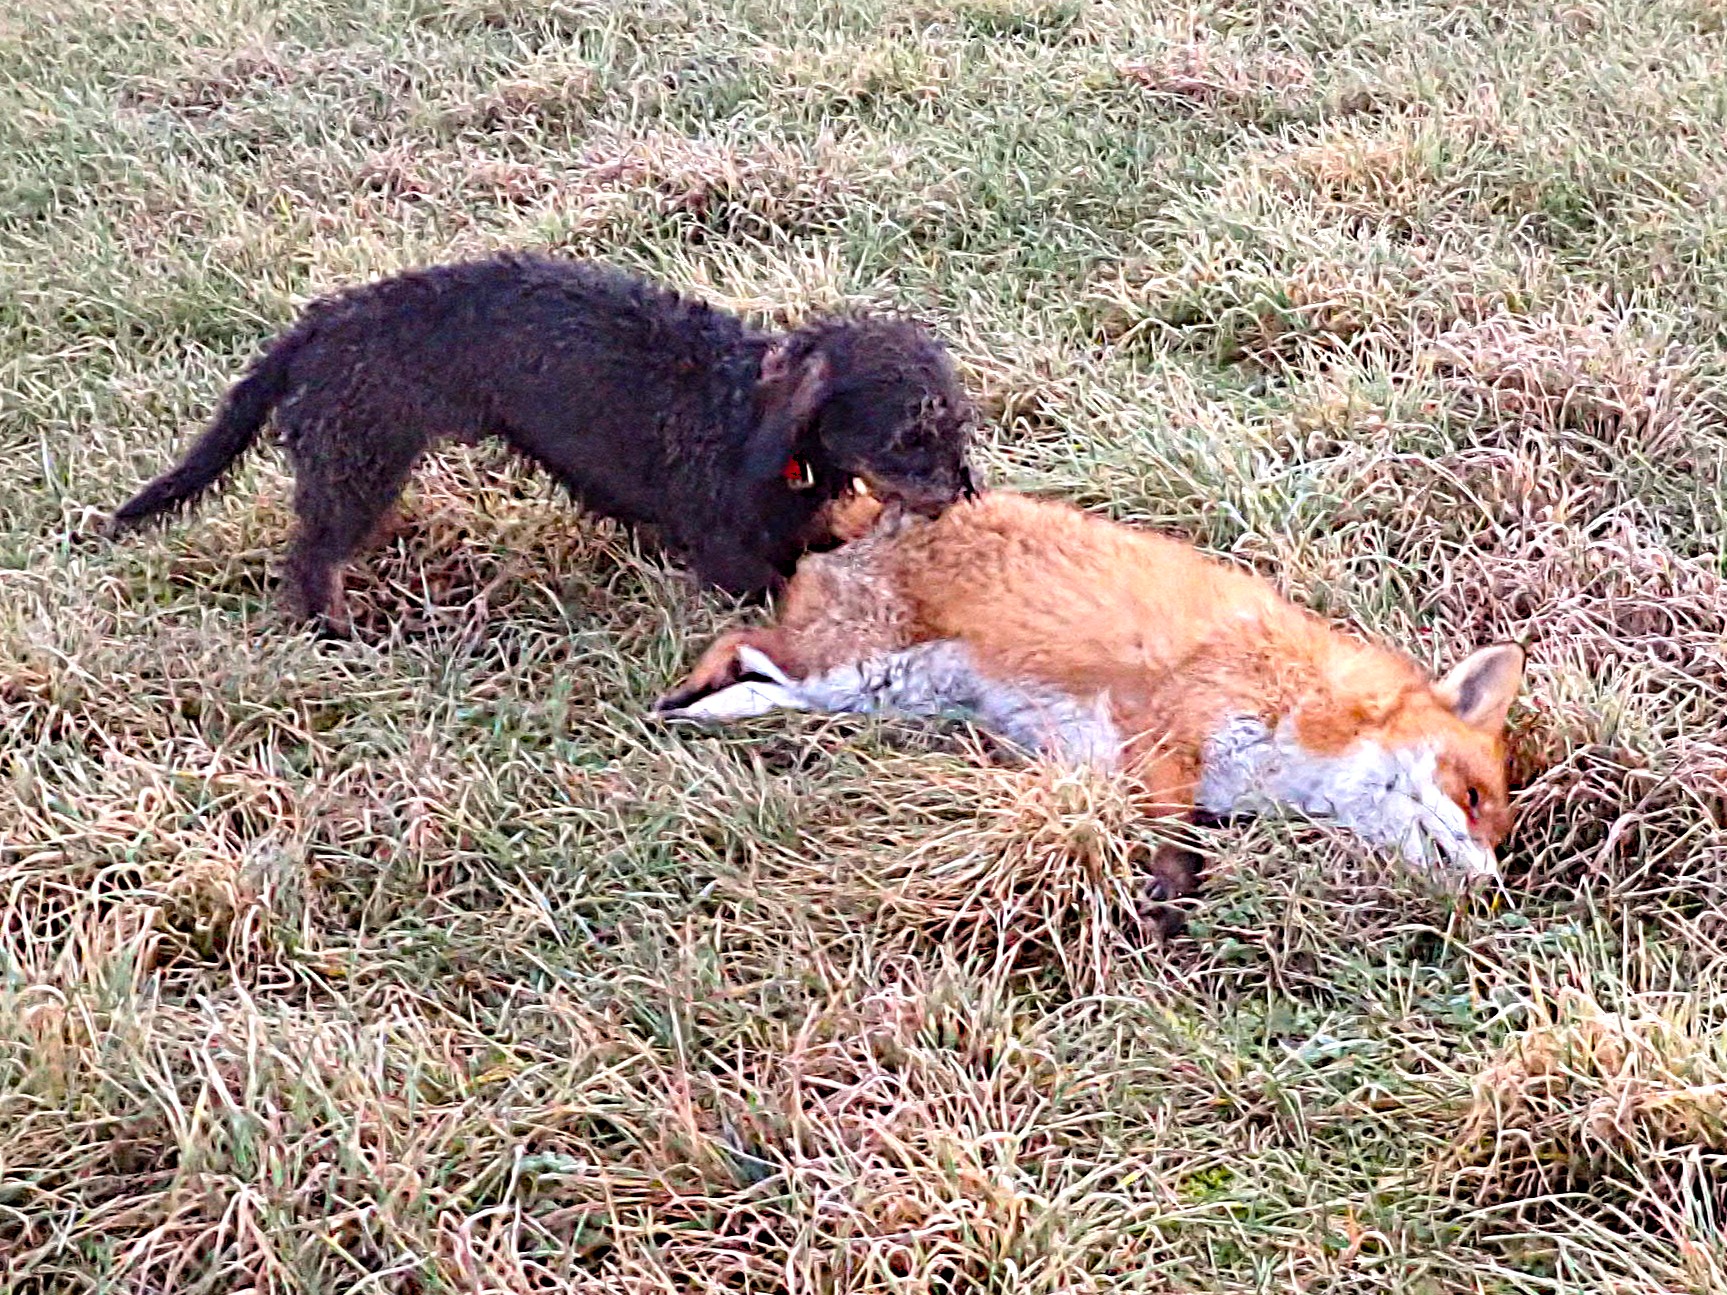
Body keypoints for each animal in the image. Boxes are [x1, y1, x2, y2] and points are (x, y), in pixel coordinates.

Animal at [653, 491, 1526, 893]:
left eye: (1497, 830)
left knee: (759, 684)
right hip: (845, 665)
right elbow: (1176, 844)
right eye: (1472, 797)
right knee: (738, 641)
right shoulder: (1164, 732)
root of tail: (887, 507)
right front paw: (1166, 915)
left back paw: (703, 715)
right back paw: (680, 696)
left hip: (861, 690)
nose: (1488, 888)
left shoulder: (1121, 759)